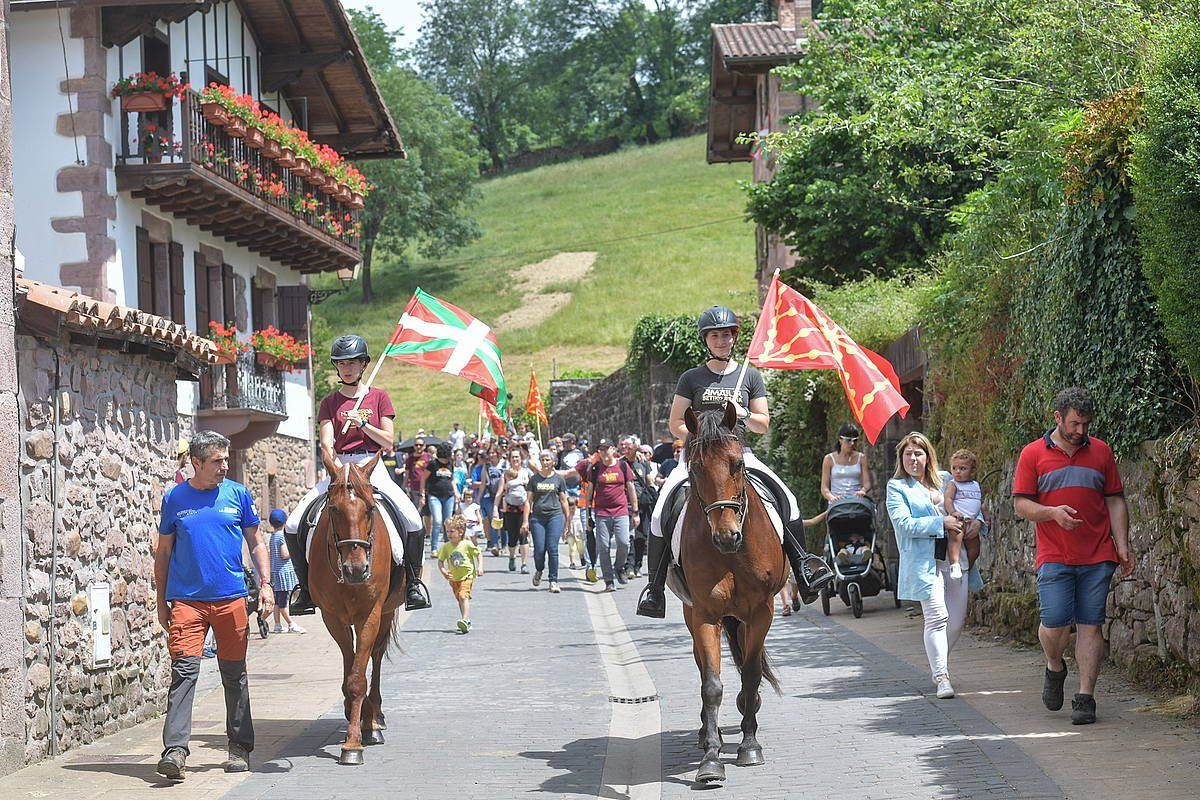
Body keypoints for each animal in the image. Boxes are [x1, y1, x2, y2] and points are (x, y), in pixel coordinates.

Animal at [309, 448, 403, 767]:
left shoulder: (370, 615)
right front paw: (353, 720)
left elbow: (359, 677)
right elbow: (349, 674)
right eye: (333, 509)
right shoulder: (332, 618)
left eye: (370, 509)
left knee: (376, 656)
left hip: (386, 613)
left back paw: (374, 721)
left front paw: (354, 742)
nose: (356, 569)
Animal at [686, 402, 787, 786]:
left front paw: (750, 745)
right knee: (704, 667)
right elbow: (712, 684)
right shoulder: (705, 615)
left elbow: (751, 673)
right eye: (695, 468)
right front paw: (711, 762)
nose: (726, 536)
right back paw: (706, 734)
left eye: (737, 464)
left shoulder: (761, 611)